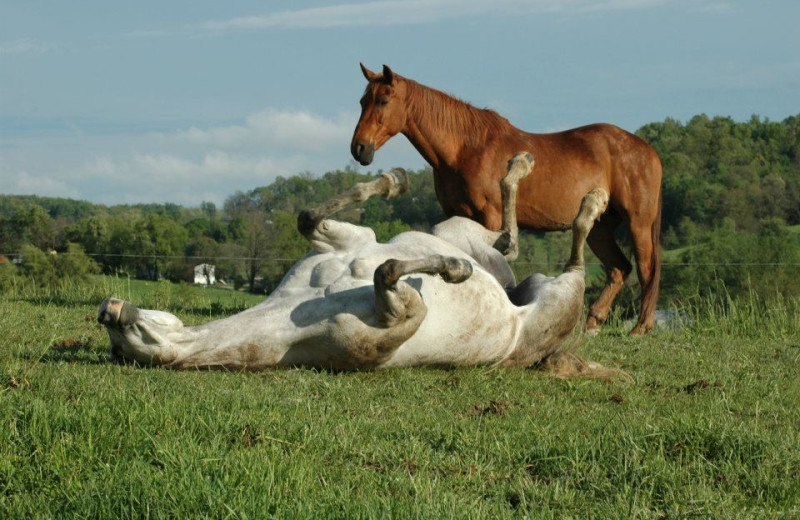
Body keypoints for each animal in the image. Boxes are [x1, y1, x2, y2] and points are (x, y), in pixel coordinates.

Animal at [98, 154, 612, 378]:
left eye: (131, 335)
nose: (111, 310)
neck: (297, 314)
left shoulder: (345, 240)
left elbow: (312, 218)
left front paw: (391, 180)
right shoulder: (402, 314)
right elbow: (388, 269)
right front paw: (453, 270)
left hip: (466, 233)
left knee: (514, 241)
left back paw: (547, 176)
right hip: (552, 293)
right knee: (537, 253)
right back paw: (585, 199)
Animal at [350, 63, 664, 336]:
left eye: (383, 101)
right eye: (363, 101)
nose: (359, 149)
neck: (467, 149)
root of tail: (647, 149)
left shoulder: (490, 216)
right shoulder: (455, 214)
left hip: (638, 224)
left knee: (646, 270)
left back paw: (640, 327)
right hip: (600, 229)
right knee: (619, 269)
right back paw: (592, 322)